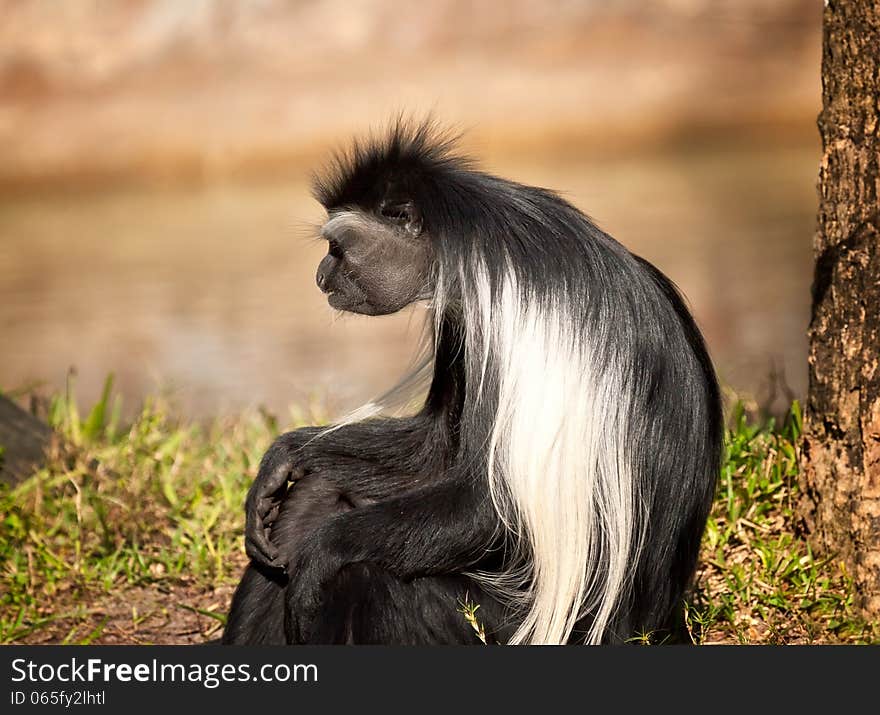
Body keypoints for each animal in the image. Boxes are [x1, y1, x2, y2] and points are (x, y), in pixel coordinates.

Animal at [222, 120, 720, 648]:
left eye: (337, 249)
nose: (321, 277)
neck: (465, 234)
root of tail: (657, 622)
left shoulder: (498, 305)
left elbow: (490, 507)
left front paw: (322, 554)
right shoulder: (460, 314)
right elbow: (437, 445)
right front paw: (283, 455)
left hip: (504, 622)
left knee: (375, 578)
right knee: (317, 493)